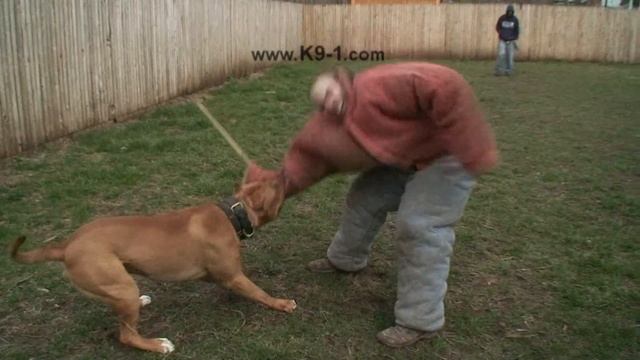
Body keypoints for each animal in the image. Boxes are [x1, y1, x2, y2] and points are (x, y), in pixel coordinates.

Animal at [7, 164, 296, 354]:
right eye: (276, 185)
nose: (285, 171)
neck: (232, 213)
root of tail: (67, 245)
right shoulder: (233, 276)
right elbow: (259, 292)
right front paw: (281, 303)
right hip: (121, 286)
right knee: (127, 335)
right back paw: (157, 345)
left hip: (119, 287)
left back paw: (142, 302)